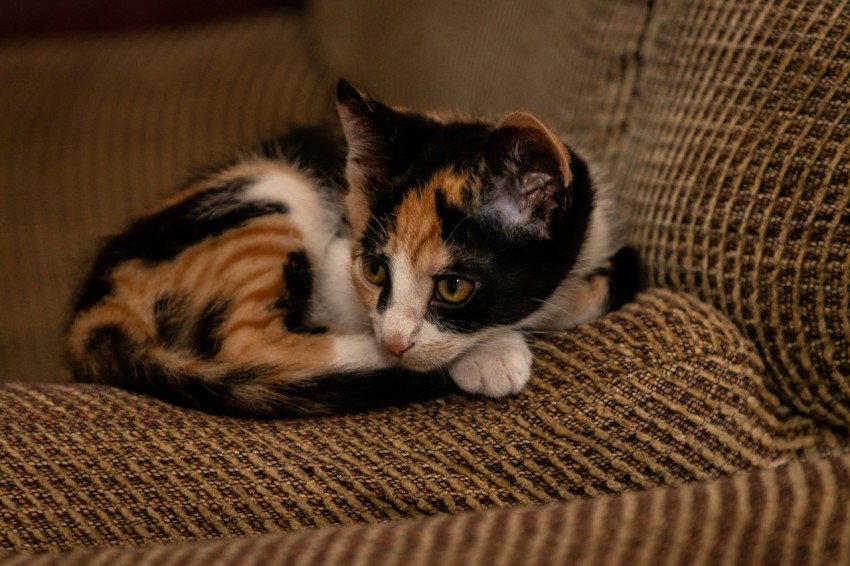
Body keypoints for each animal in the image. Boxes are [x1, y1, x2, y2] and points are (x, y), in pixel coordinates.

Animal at [66, 79, 636, 418]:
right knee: (246, 344)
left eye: (453, 287)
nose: (396, 342)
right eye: (375, 271)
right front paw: (490, 355)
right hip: (269, 188)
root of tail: (91, 310)